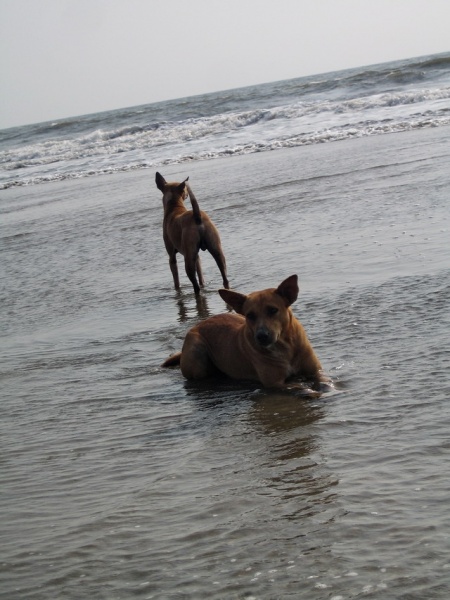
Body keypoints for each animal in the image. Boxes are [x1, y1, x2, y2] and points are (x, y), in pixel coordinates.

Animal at [162, 274, 332, 394]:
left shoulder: (316, 370)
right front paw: (311, 391)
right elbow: (298, 387)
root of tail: (197, 325)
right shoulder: (275, 384)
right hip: (196, 350)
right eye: (250, 315)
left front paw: (327, 388)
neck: (284, 347)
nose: (261, 336)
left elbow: (324, 379)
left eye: (273, 310)